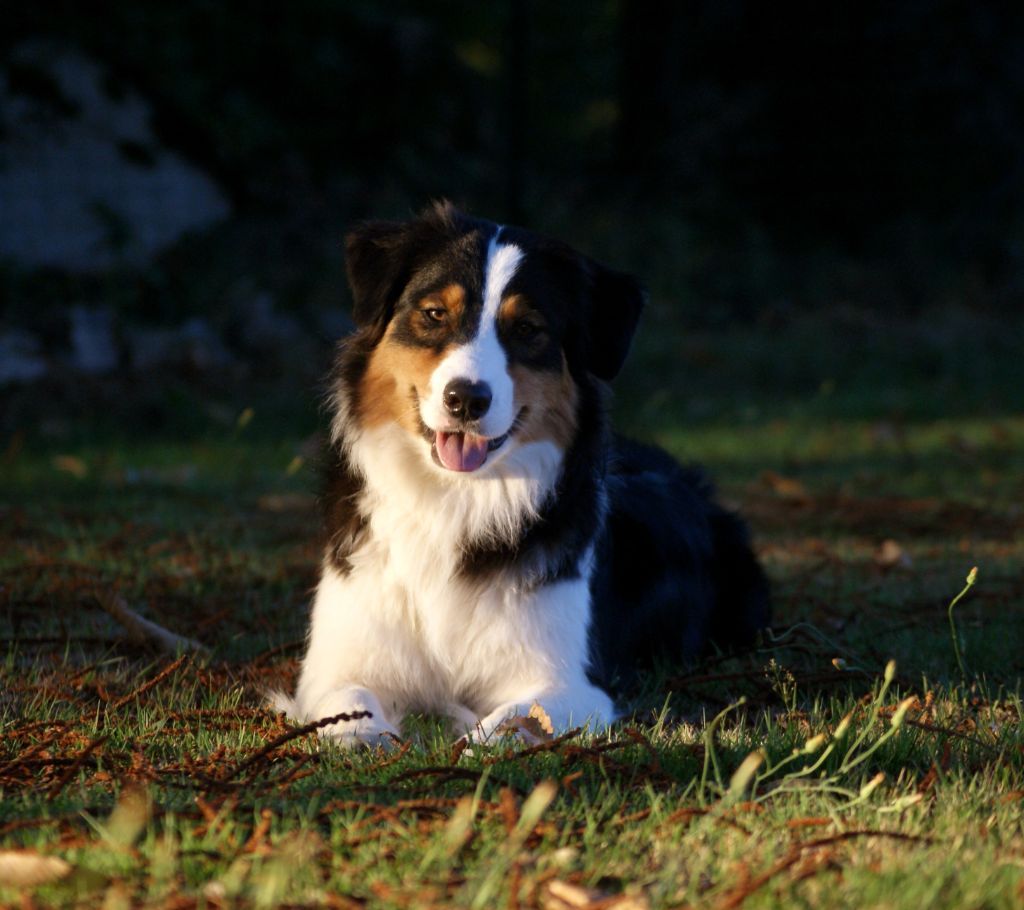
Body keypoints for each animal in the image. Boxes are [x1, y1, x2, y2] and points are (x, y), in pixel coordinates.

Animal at [274, 202, 770, 741]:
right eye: (434, 315)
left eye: (528, 329)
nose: (466, 399)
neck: (454, 498)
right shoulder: (337, 664)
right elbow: (349, 703)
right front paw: (365, 738)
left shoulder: (573, 682)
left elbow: (508, 720)